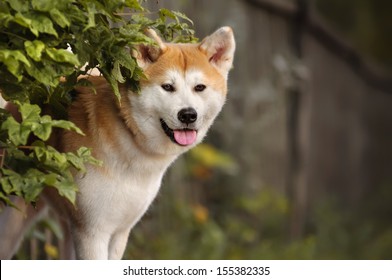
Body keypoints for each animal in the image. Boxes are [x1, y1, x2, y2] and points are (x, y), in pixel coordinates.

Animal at [0, 27, 236, 260]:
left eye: (200, 87)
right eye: (168, 87)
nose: (188, 115)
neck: (130, 140)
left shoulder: (119, 231)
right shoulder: (92, 232)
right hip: (12, 221)